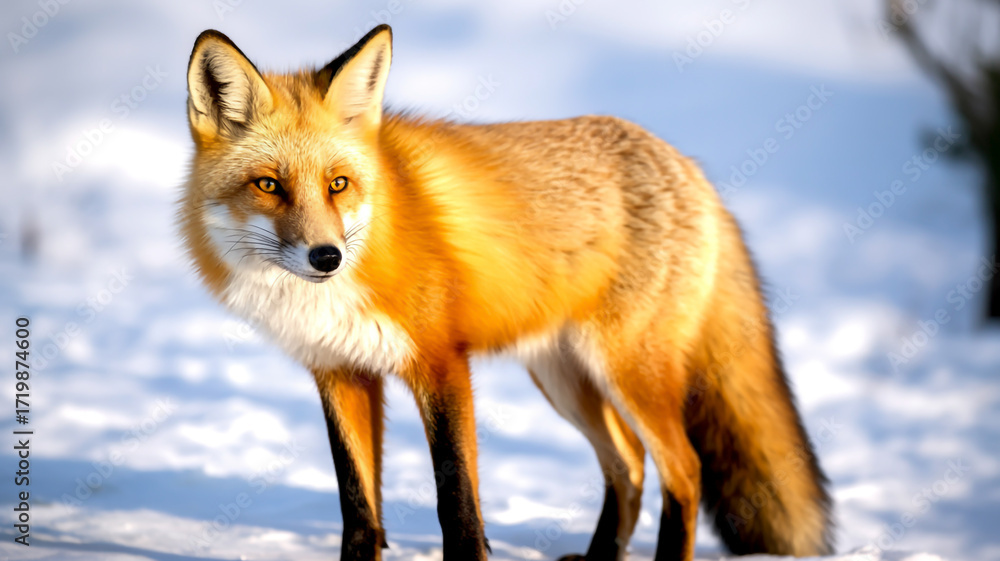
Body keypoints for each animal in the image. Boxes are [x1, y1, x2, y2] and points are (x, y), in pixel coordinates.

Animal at [179, 24, 833, 561]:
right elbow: (359, 510)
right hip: (565, 379)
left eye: (338, 184)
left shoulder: (441, 363)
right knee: (630, 465)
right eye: (269, 185)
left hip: (626, 373)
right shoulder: (341, 371)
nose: (327, 257)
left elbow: (456, 502)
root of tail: (688, 164)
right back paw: (598, 559)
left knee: (684, 470)